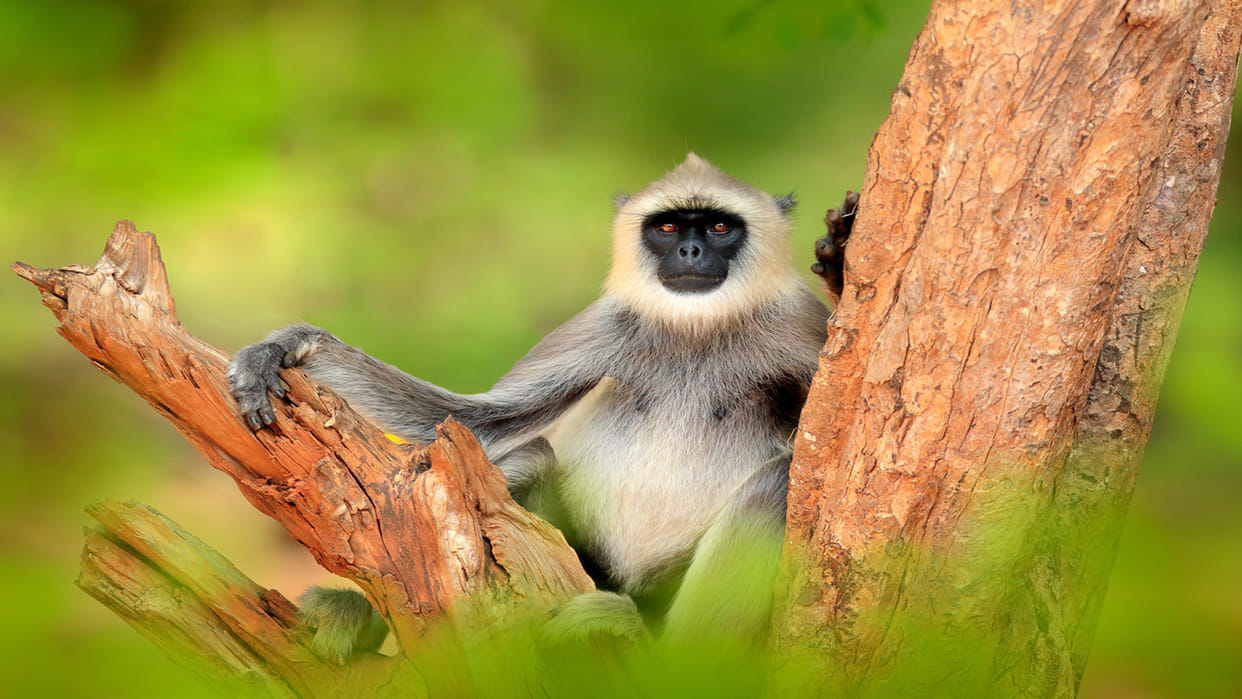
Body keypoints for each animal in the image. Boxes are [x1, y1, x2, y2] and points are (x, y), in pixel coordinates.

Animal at [226, 154, 855, 661]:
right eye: (669, 226)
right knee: (528, 455)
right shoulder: (602, 326)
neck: (696, 331)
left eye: (720, 226)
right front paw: (288, 348)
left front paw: (842, 265)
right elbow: (470, 421)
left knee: (773, 483)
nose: (690, 250)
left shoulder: (794, 326)